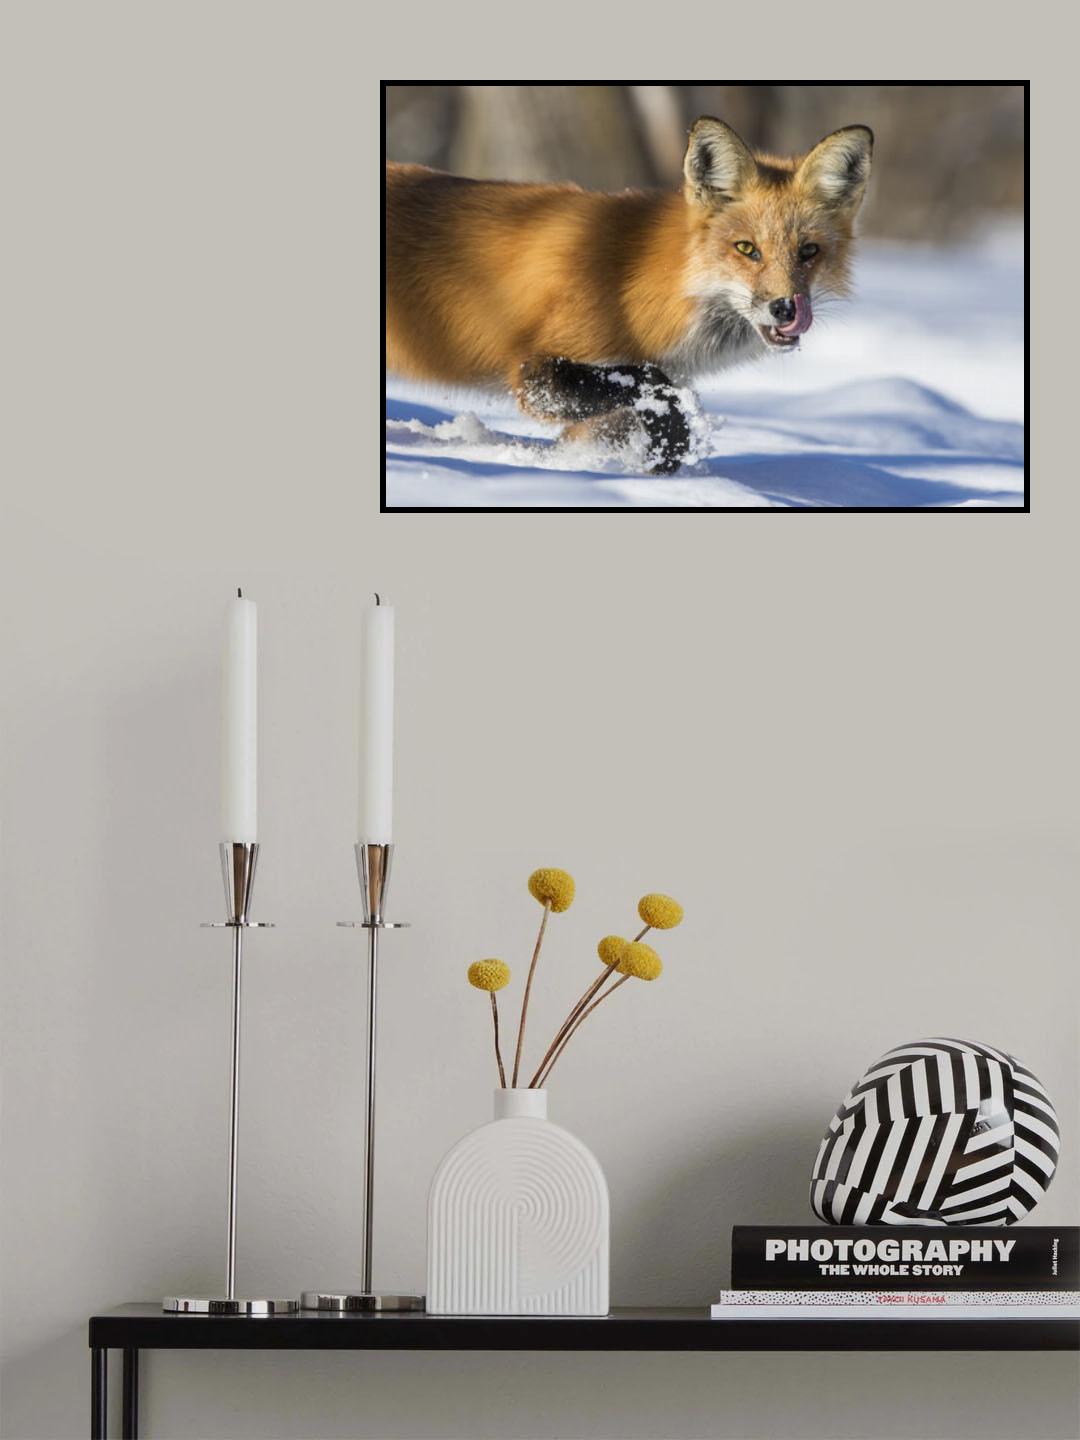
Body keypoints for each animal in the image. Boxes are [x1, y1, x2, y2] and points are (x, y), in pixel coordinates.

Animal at [385, 116, 873, 474]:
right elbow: (658, 389)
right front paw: (664, 458)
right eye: (746, 249)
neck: (633, 281)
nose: (786, 309)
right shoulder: (534, 374)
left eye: (808, 252)